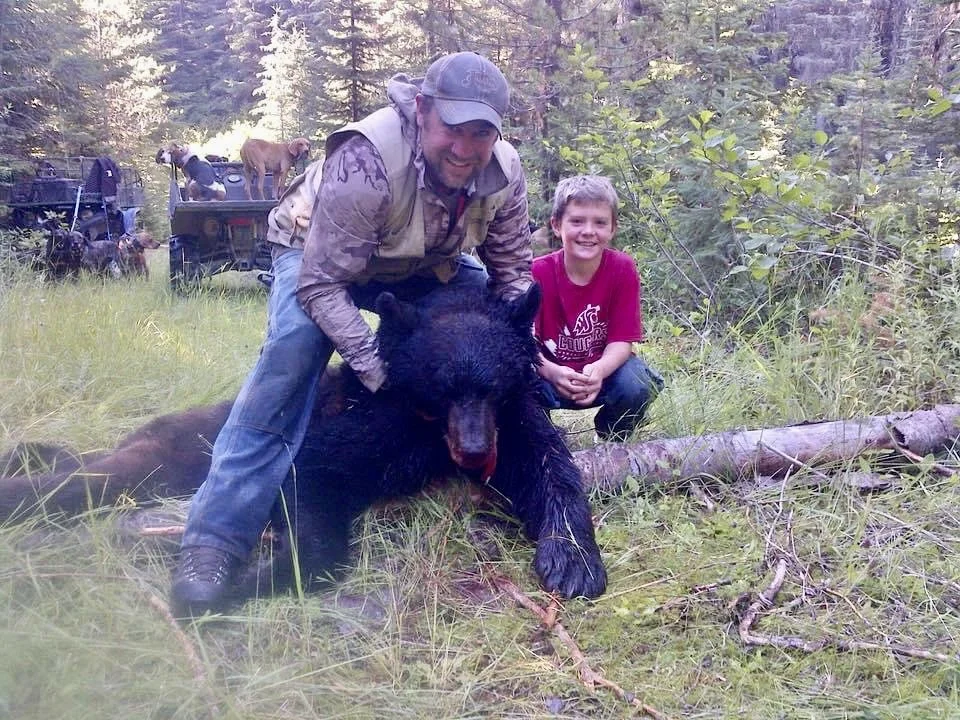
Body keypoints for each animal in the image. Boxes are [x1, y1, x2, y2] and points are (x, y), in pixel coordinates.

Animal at [0, 285, 607, 604]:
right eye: (442, 389)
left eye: (493, 386)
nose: (477, 452)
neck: (430, 428)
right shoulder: (374, 424)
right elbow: (310, 471)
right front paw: (258, 577)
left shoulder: (513, 420)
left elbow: (551, 472)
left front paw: (573, 563)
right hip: (185, 446)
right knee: (103, 477)